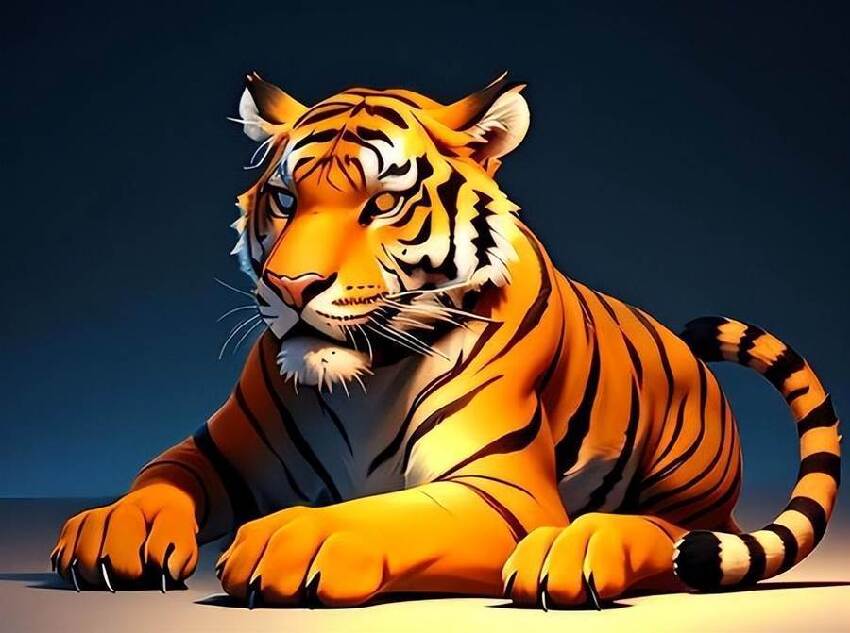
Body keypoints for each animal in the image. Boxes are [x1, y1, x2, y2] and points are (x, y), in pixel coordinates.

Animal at [52, 72, 841, 609]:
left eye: (383, 202)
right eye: (284, 198)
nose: (292, 286)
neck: (364, 380)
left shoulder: (500, 489)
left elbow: (388, 512)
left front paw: (294, 536)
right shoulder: (218, 451)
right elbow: (158, 478)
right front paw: (110, 530)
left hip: (685, 485)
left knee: (670, 532)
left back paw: (576, 547)